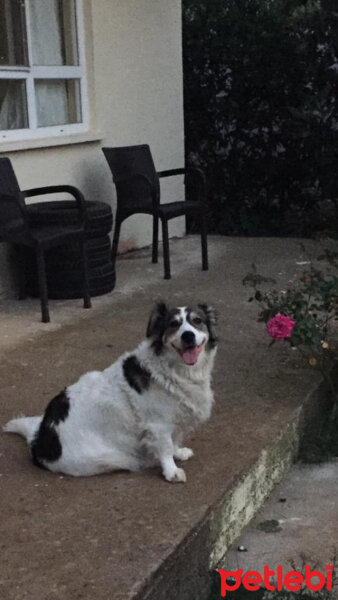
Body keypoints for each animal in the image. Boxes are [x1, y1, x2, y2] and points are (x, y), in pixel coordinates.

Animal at [3, 304, 218, 482]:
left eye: (197, 321)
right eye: (174, 324)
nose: (188, 335)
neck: (173, 370)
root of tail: (39, 441)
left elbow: (173, 441)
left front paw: (178, 452)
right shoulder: (158, 424)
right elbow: (165, 447)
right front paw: (171, 471)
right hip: (107, 459)